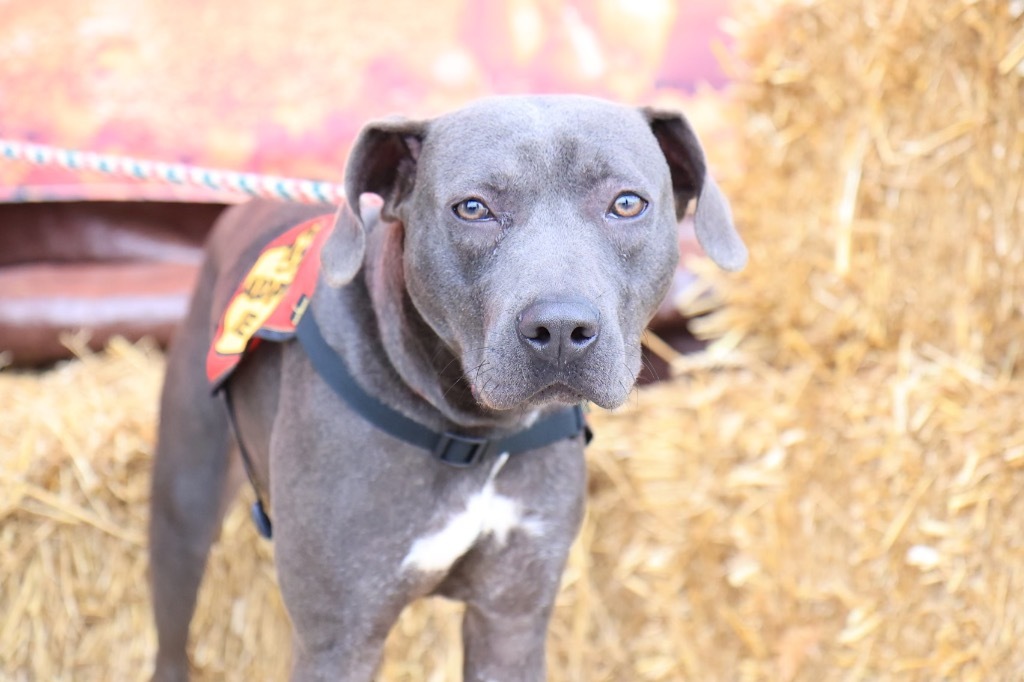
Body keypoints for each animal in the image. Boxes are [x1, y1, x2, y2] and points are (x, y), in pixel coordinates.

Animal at [148, 93, 745, 675]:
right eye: (473, 208)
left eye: (626, 203)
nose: (559, 329)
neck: (474, 433)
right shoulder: (338, 639)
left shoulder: (512, 619)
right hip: (182, 510)